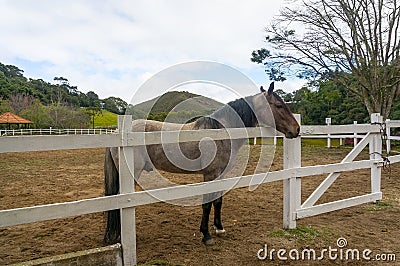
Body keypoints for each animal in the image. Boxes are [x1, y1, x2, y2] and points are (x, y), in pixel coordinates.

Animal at [104, 82, 298, 245]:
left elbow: (218, 201)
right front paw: (206, 235)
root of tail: (118, 132)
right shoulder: (210, 175)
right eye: (279, 106)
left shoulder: (220, 174)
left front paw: (219, 228)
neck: (221, 132)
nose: (296, 129)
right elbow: (206, 203)